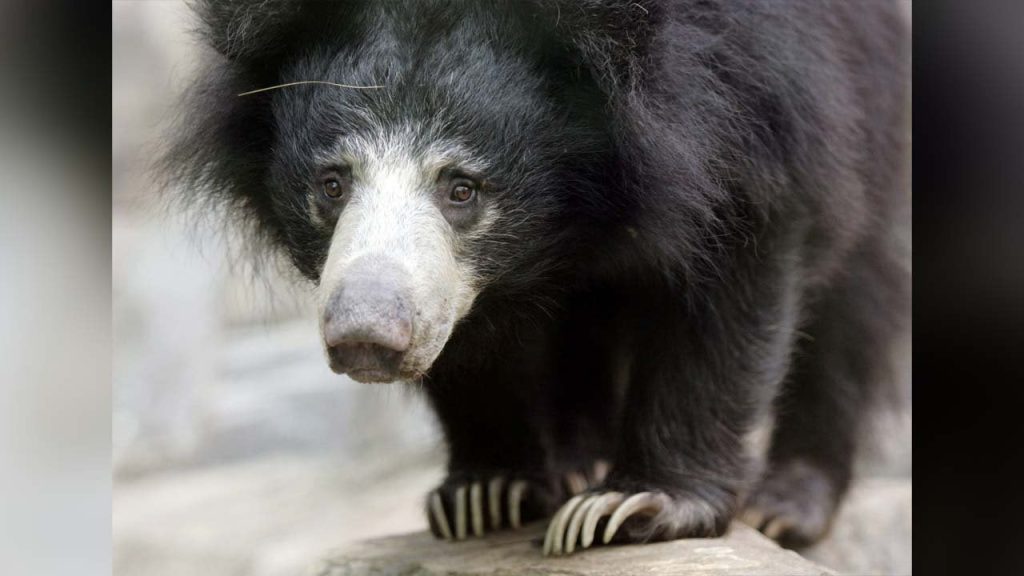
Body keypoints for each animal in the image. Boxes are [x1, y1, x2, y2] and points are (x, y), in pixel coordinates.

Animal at [167, 0, 913, 553]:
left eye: (461, 189)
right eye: (332, 182)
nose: (367, 338)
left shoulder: (756, 95)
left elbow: (731, 274)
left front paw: (633, 504)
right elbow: (473, 347)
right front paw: (488, 493)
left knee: (852, 305)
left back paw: (787, 504)